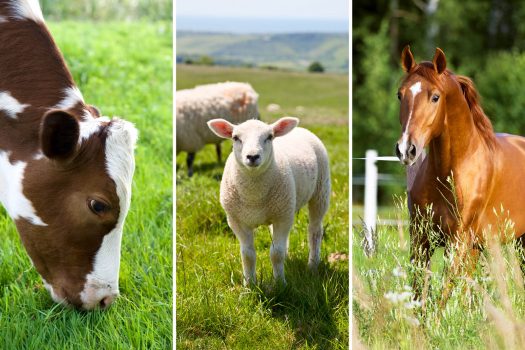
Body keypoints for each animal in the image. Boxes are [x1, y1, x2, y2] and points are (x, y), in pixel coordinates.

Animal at [207, 116, 330, 286]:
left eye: (269, 137)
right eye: (235, 137)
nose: (252, 156)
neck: (254, 197)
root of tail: (300, 129)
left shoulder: (283, 218)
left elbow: (276, 253)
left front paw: (280, 283)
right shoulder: (237, 221)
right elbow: (247, 255)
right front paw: (249, 284)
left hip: (320, 192)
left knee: (315, 231)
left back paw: (312, 266)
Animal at [396, 45, 524, 304]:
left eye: (435, 97)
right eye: (400, 95)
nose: (406, 149)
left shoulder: (458, 242)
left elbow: (443, 297)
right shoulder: (421, 239)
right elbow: (419, 295)